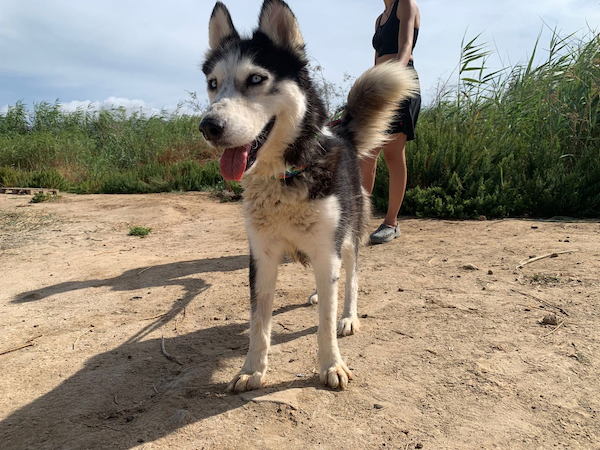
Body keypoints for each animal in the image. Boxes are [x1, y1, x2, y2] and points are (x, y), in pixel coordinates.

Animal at [200, 0, 418, 391]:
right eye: (213, 84)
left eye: (256, 79)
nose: (208, 126)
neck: (285, 175)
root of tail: (342, 133)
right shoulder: (262, 257)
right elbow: (258, 322)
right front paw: (251, 370)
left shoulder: (327, 248)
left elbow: (325, 323)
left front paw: (332, 364)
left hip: (348, 235)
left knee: (350, 278)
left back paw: (347, 314)